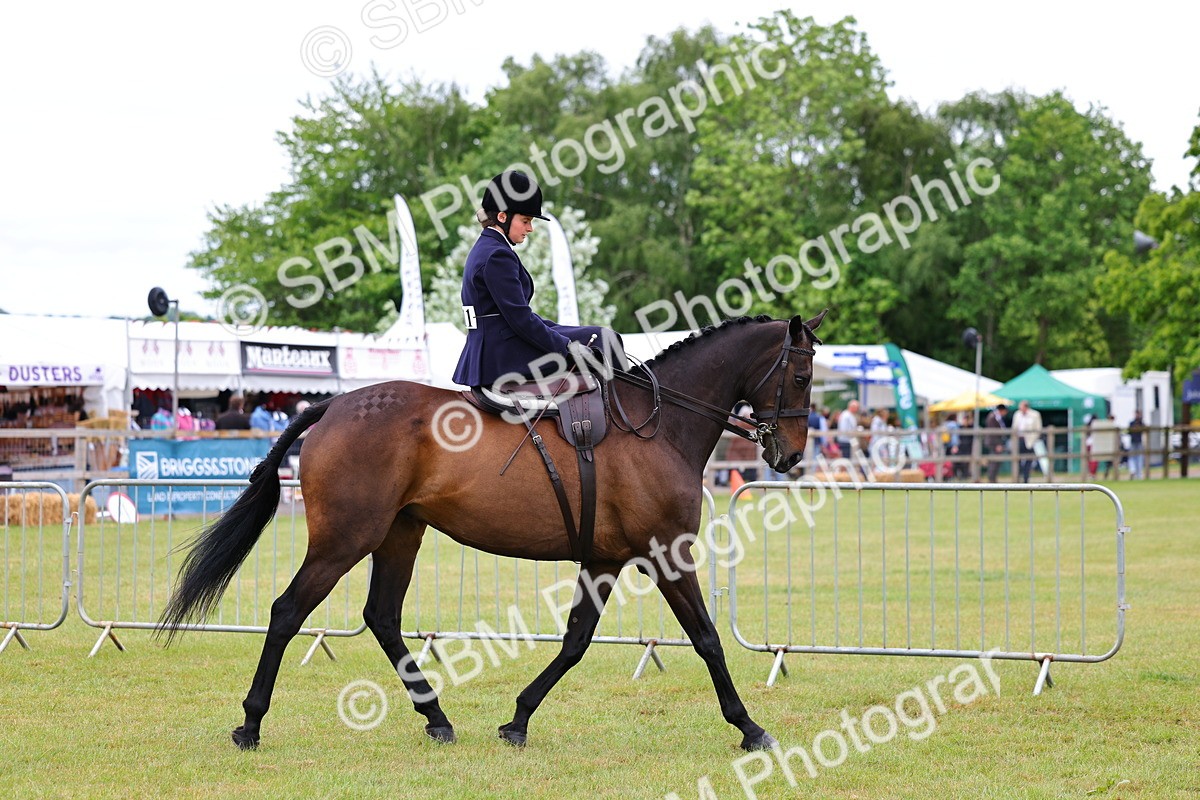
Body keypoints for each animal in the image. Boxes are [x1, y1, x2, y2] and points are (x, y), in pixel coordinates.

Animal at [157, 310, 826, 752]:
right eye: (800, 378)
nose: (790, 456)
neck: (656, 425)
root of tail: (335, 405)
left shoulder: (604, 560)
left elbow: (576, 640)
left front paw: (518, 719)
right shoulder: (666, 554)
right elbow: (707, 638)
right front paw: (750, 728)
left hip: (400, 535)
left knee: (382, 616)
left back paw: (437, 718)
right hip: (345, 539)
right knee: (288, 610)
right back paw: (251, 723)